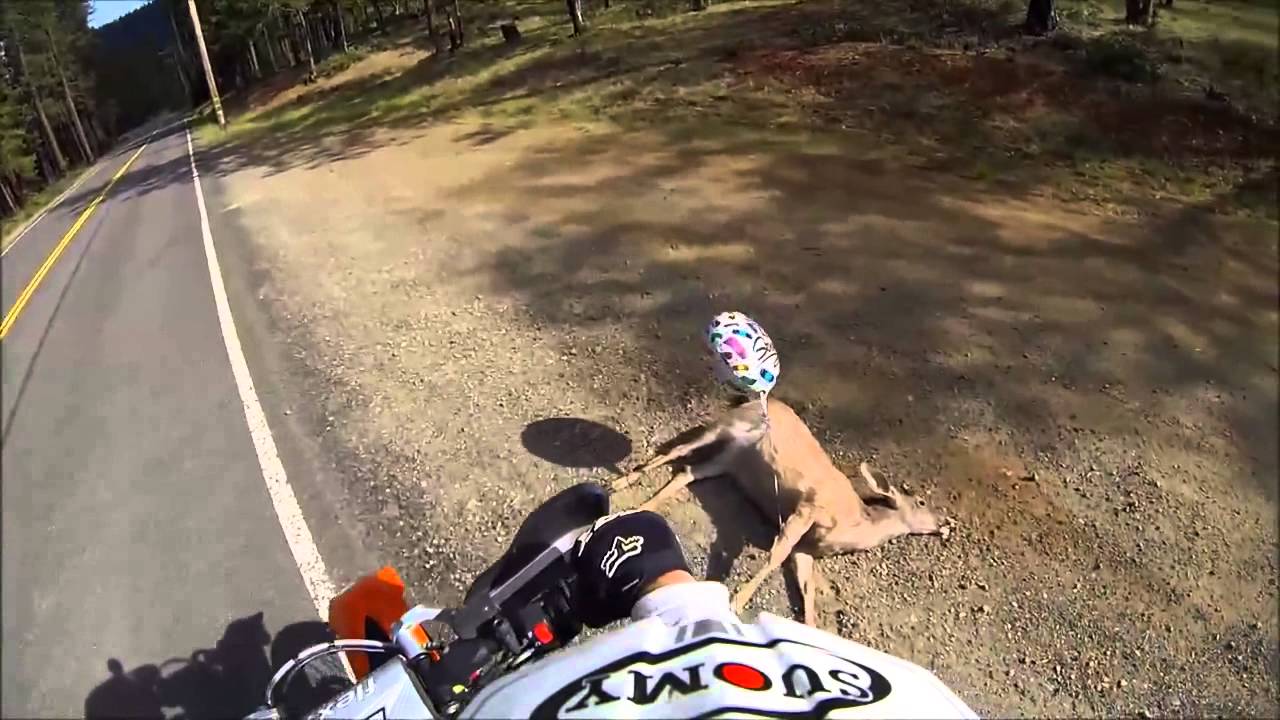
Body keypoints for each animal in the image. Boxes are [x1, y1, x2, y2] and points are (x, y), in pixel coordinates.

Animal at [610, 395, 949, 626]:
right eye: (920, 501)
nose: (945, 523)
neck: (852, 525)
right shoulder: (808, 507)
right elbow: (775, 555)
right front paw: (736, 602)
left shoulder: (807, 549)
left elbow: (807, 590)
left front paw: (809, 629)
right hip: (725, 426)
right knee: (676, 451)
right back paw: (620, 484)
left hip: (732, 460)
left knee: (688, 472)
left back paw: (641, 506)